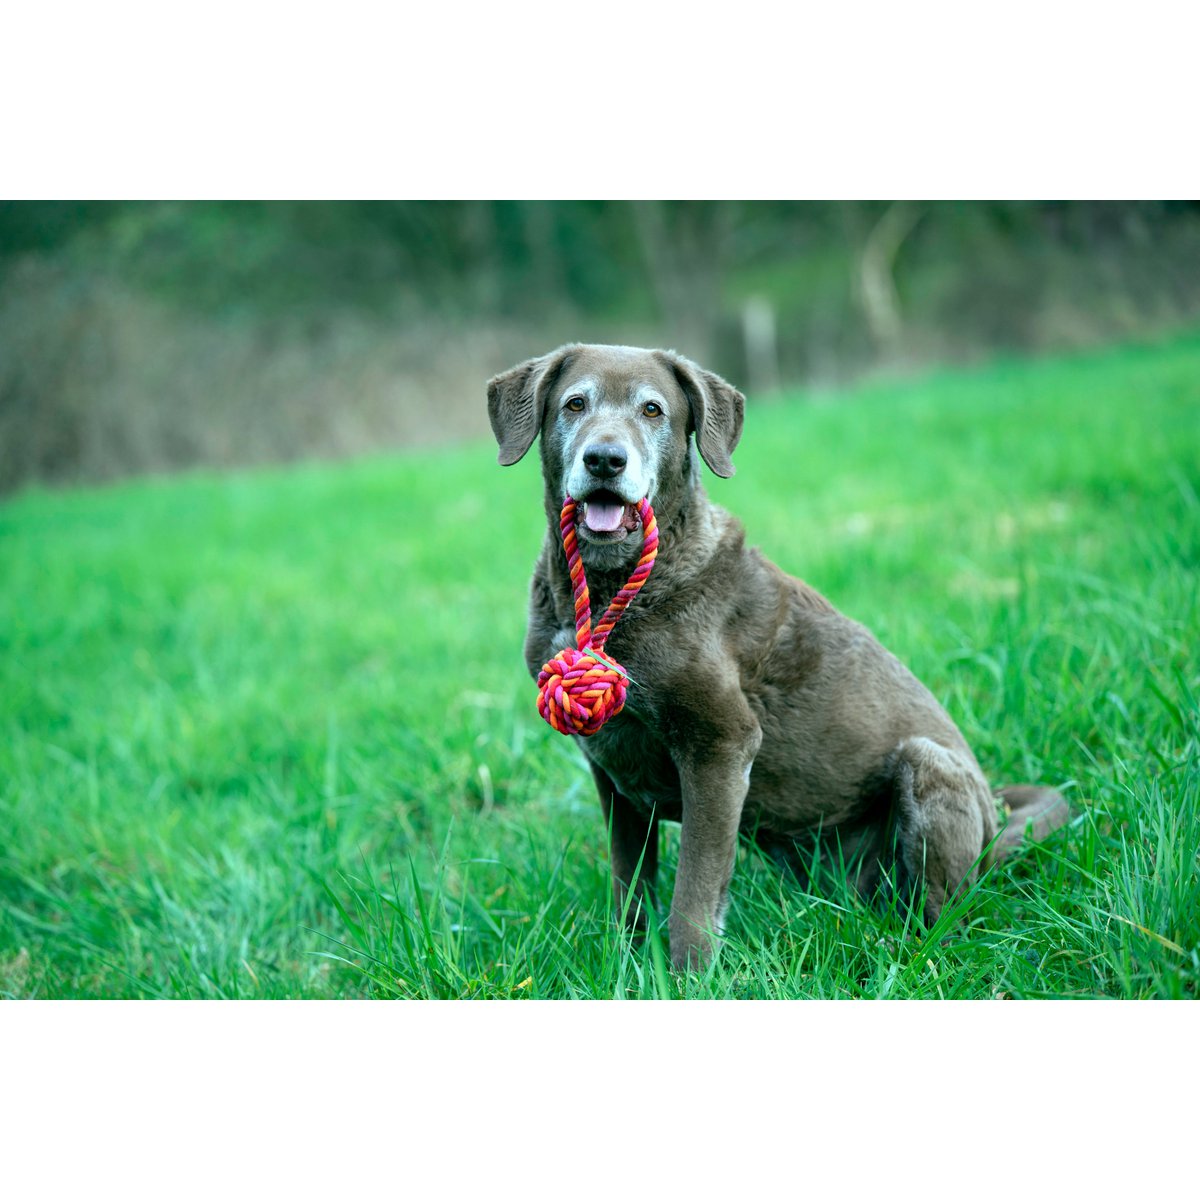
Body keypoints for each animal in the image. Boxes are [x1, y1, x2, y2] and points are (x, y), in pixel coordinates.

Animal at [487, 343, 1070, 969]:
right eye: (575, 404)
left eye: (652, 409)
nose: (604, 460)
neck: (609, 591)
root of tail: (993, 826)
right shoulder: (613, 773)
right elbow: (630, 885)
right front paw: (628, 969)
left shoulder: (720, 745)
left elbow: (693, 893)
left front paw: (689, 978)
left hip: (928, 766)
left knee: (945, 913)